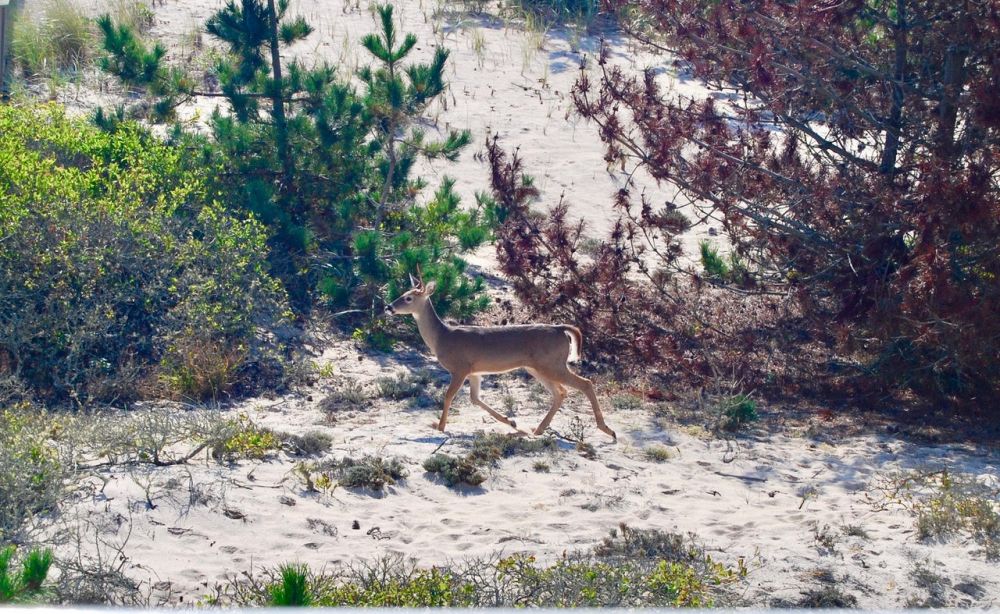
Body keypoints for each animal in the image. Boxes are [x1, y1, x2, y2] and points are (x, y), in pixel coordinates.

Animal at [384, 268, 616, 440]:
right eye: (402, 294)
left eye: (408, 298)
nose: (388, 307)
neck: (442, 337)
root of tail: (561, 329)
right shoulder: (475, 372)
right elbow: (475, 398)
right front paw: (511, 422)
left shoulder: (460, 367)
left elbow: (449, 395)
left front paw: (439, 427)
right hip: (539, 367)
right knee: (560, 392)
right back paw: (538, 429)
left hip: (552, 364)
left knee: (585, 384)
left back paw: (608, 430)